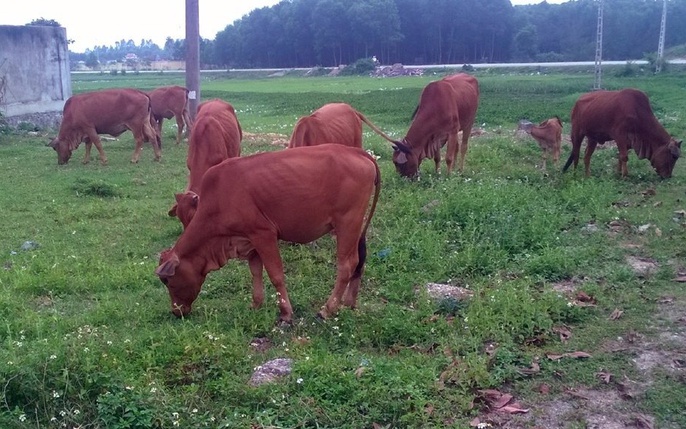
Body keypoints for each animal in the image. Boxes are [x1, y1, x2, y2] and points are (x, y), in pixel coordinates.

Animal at [156, 142, 382, 322]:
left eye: (167, 281)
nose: (176, 311)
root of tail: (355, 151)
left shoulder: (263, 234)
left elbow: (276, 275)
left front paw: (286, 313)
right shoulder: (248, 240)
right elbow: (255, 272)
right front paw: (256, 304)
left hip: (347, 223)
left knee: (347, 265)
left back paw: (327, 309)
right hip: (356, 227)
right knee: (359, 262)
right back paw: (349, 303)